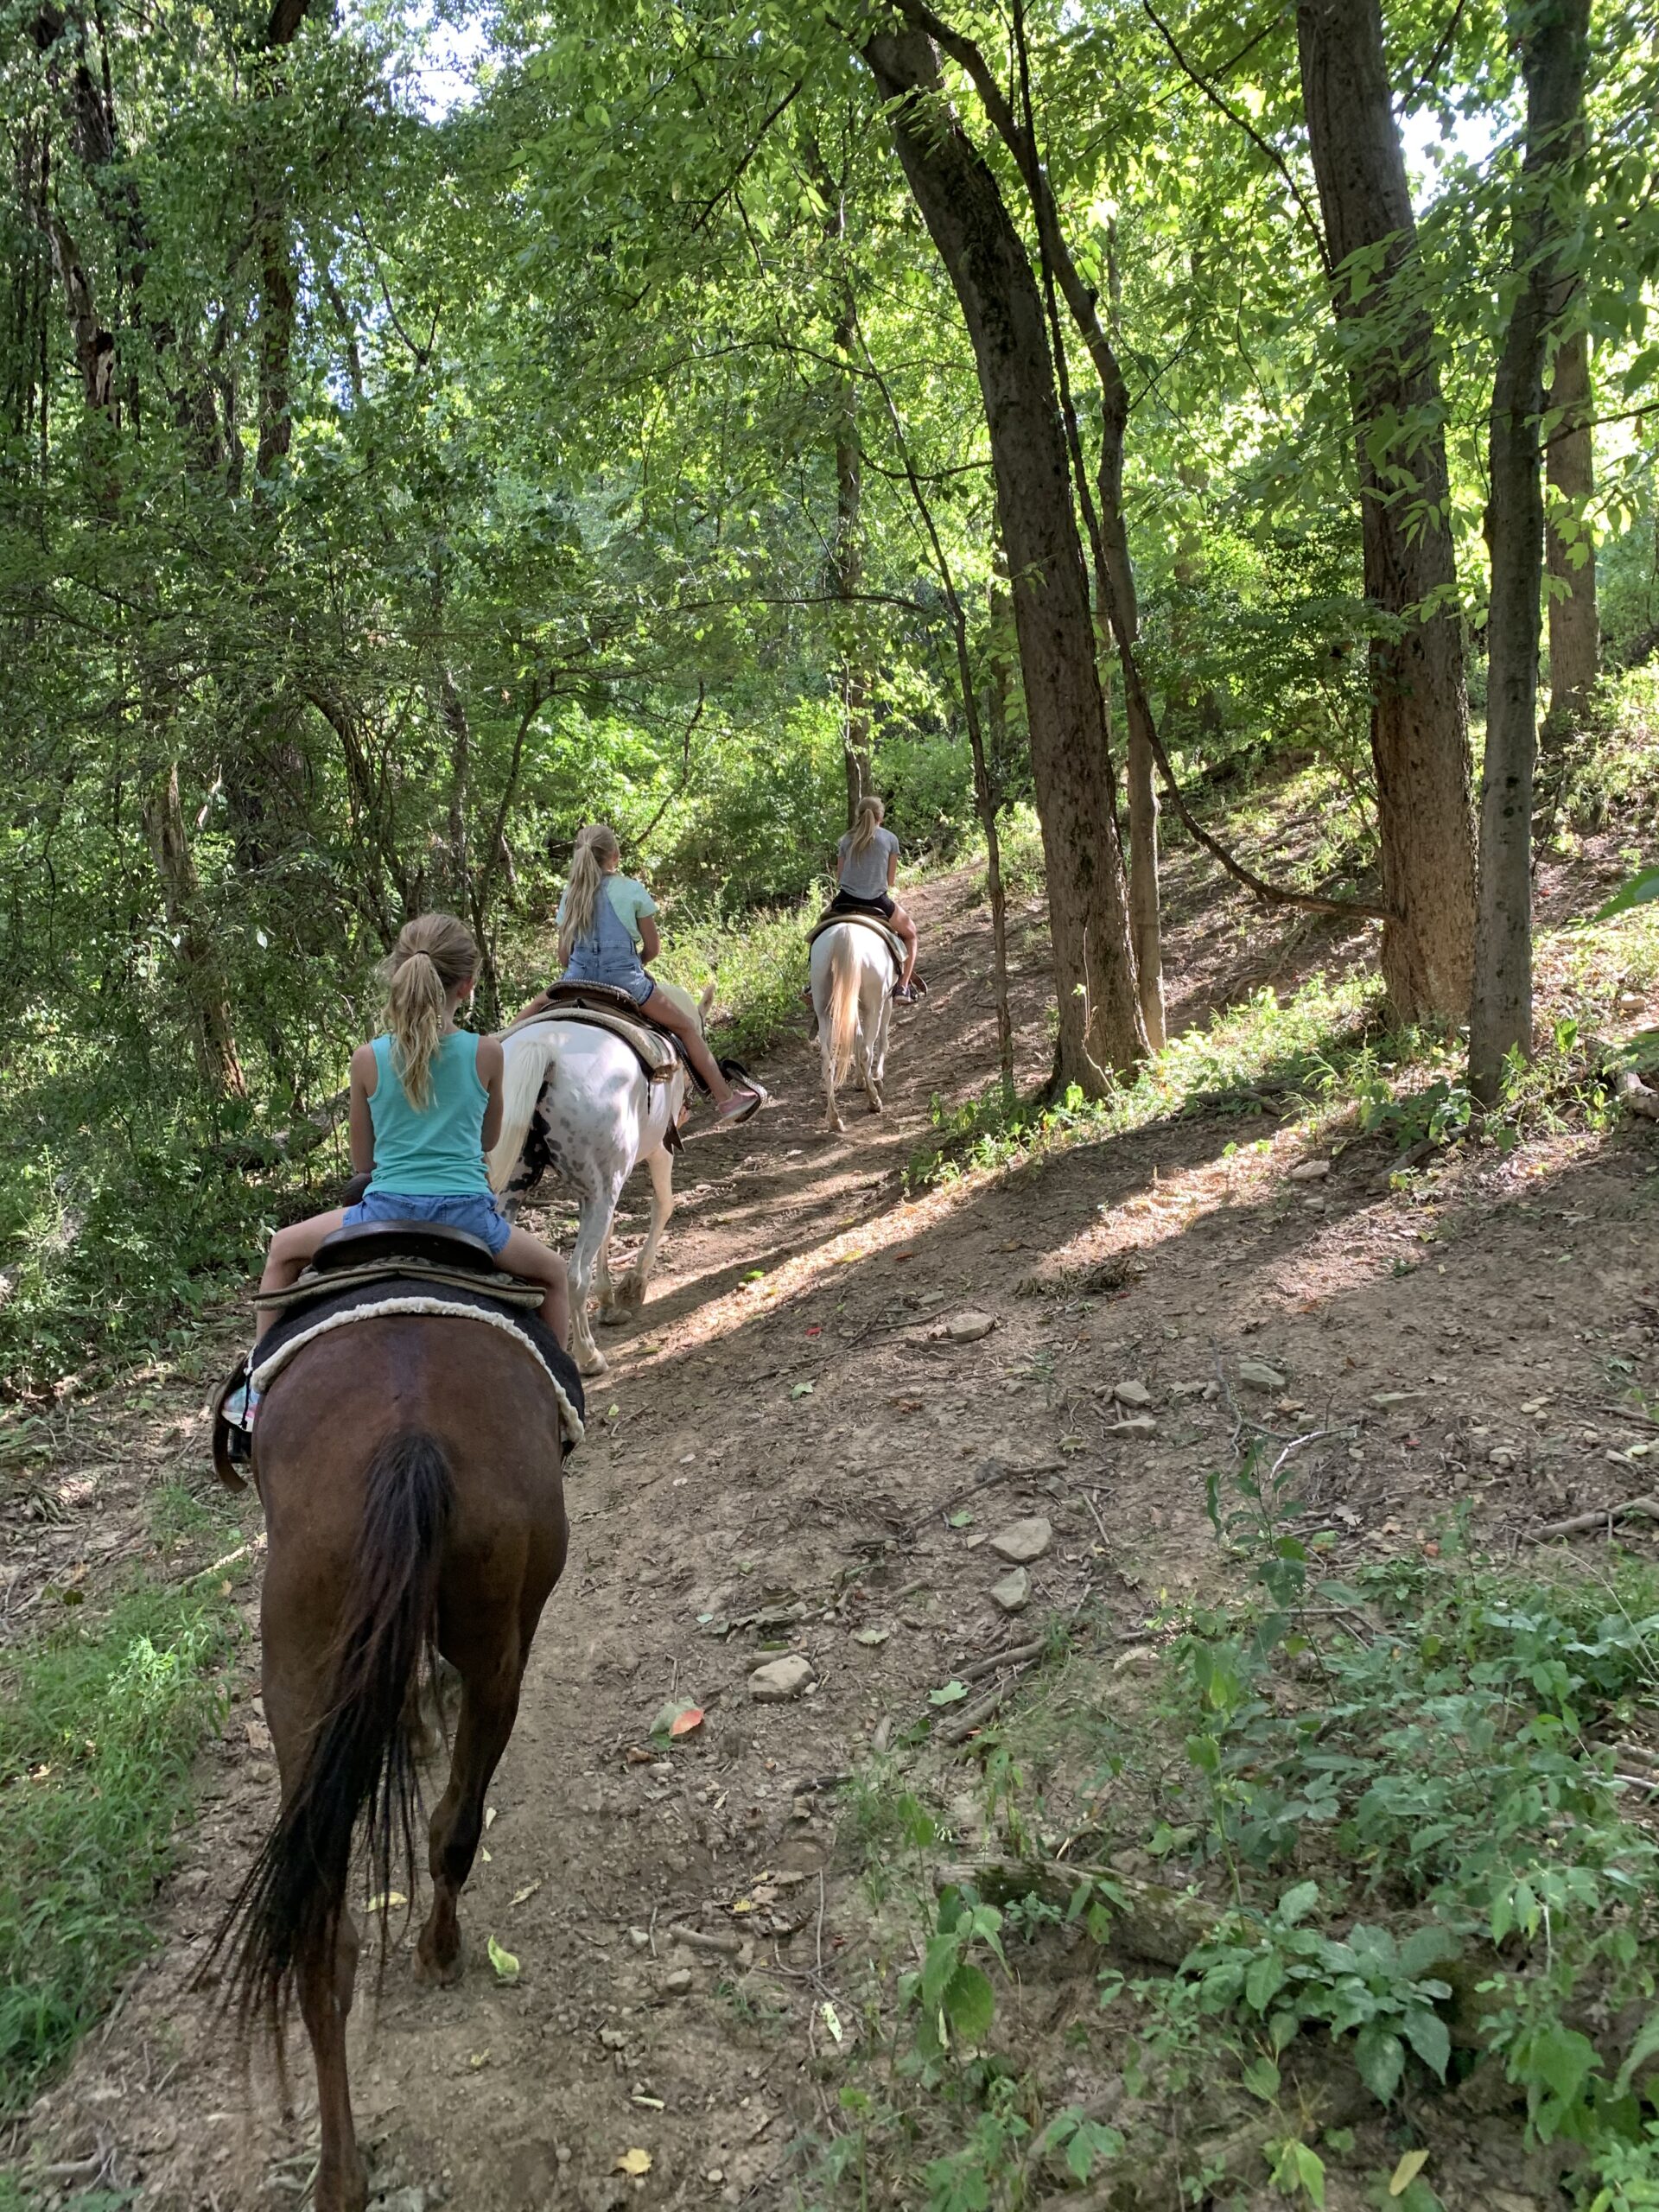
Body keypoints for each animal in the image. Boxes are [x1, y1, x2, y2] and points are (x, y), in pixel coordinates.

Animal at [207, 1318, 575, 2202]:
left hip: (304, 1675)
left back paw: (340, 2166)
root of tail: (410, 1439)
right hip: (497, 1639)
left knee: (330, 1925)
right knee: (451, 1829)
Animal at [484, 982, 712, 1371]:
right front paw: (633, 1287)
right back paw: (589, 1356)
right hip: (600, 1190)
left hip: (515, 1190)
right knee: (575, 1276)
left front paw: (608, 1303)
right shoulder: (657, 1152)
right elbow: (663, 1206)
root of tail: (545, 1049)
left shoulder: (598, 1187)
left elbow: (609, 1232)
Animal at [814, 919, 898, 1132]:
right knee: (867, 1051)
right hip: (874, 1005)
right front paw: (877, 1076)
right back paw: (874, 1100)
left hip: (825, 1009)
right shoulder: (887, 1000)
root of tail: (842, 935)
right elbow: (882, 1039)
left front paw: (860, 1080)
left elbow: (855, 1037)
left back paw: (834, 1119)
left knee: (828, 1060)